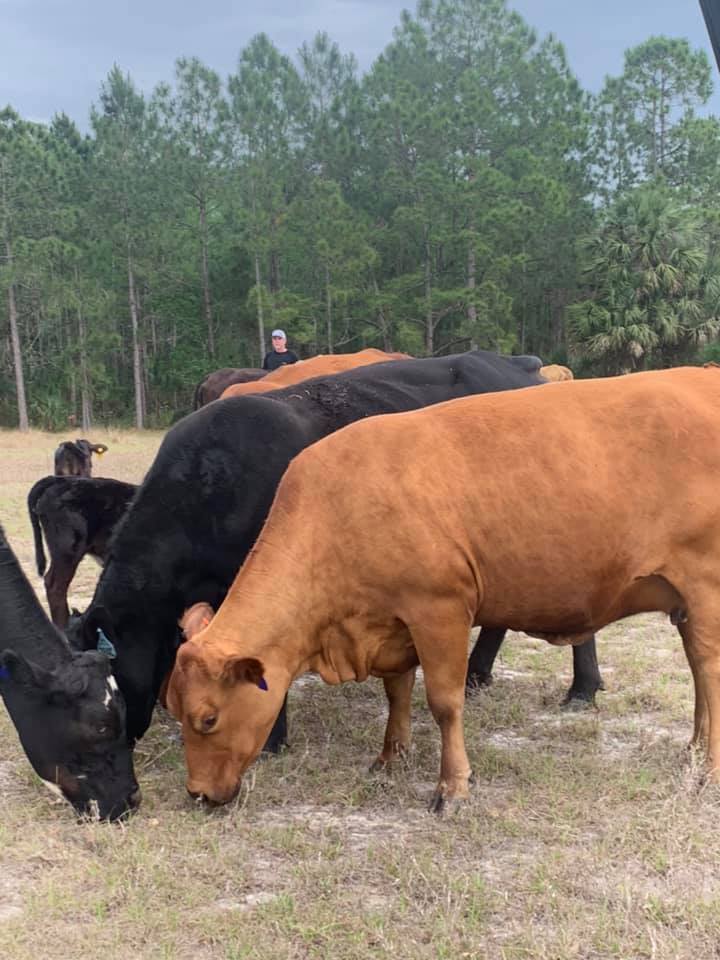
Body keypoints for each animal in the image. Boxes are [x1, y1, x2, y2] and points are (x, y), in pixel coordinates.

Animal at [166, 366, 720, 814]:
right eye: (172, 709)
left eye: (208, 719)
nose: (197, 793)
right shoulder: (391, 622)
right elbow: (396, 692)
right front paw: (390, 757)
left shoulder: (439, 610)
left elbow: (444, 702)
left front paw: (451, 787)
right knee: (697, 670)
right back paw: (693, 748)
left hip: (706, 588)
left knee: (708, 670)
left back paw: (708, 765)